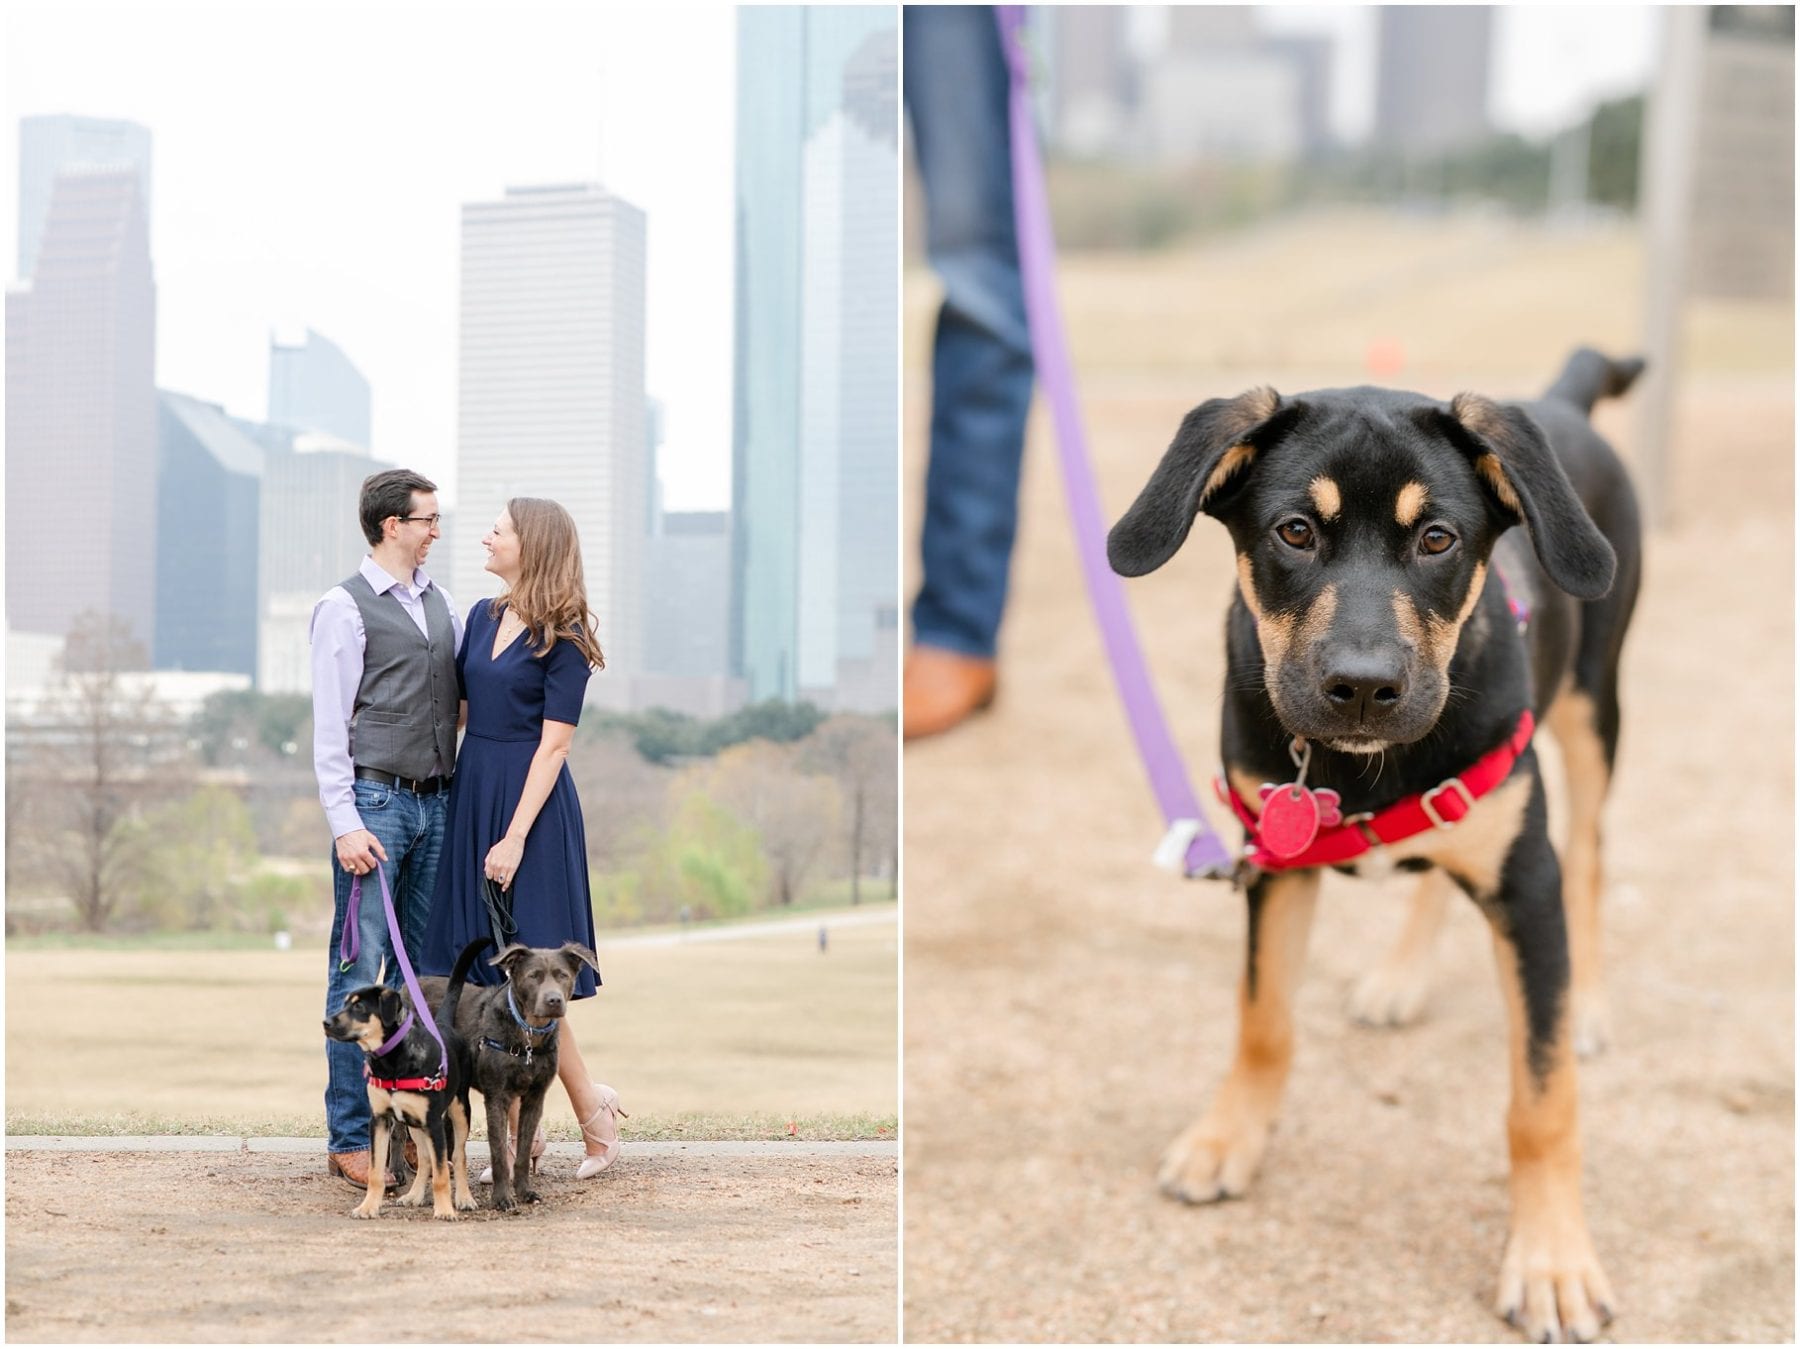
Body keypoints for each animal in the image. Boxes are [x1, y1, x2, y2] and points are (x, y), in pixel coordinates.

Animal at [324, 936, 489, 1217]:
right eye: (345, 1003)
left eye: (359, 1006)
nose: (326, 1023)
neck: (391, 1061)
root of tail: (442, 1025)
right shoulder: (379, 1120)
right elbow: (376, 1171)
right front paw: (368, 1207)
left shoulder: (434, 1123)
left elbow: (442, 1174)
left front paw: (444, 1211)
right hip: (414, 1123)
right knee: (424, 1159)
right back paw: (414, 1195)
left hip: (458, 1109)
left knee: (458, 1156)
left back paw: (464, 1198)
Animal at [1101, 349, 1641, 1347]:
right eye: (1295, 531)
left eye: (1436, 538)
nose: (1361, 686)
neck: (1356, 771)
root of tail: (1560, 399)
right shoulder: (1271, 865)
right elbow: (1263, 1019)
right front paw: (1228, 1139)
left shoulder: (1527, 886)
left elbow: (1542, 1100)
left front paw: (1551, 1260)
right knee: (1440, 860)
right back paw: (1401, 977)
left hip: (1594, 704)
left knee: (1588, 848)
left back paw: (1587, 1001)